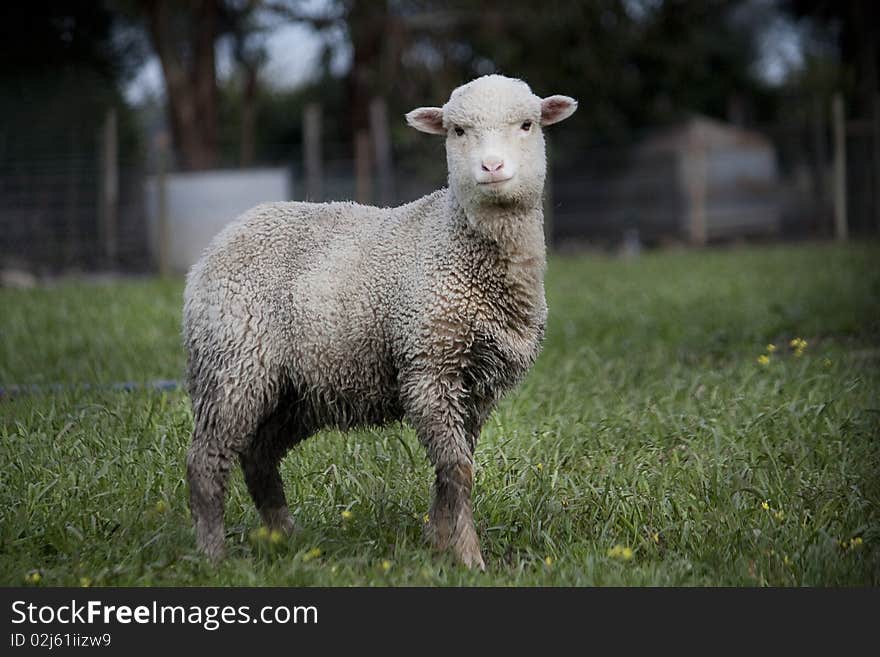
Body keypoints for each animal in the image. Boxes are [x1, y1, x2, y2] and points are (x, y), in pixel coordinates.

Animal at [182, 73, 576, 568]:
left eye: (527, 124)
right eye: (457, 131)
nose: (492, 167)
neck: (456, 242)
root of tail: (218, 242)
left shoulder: (478, 385)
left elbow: (452, 470)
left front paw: (439, 542)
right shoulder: (429, 366)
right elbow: (458, 470)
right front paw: (468, 557)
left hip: (299, 388)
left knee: (259, 455)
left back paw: (285, 538)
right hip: (233, 361)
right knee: (207, 459)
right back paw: (213, 553)